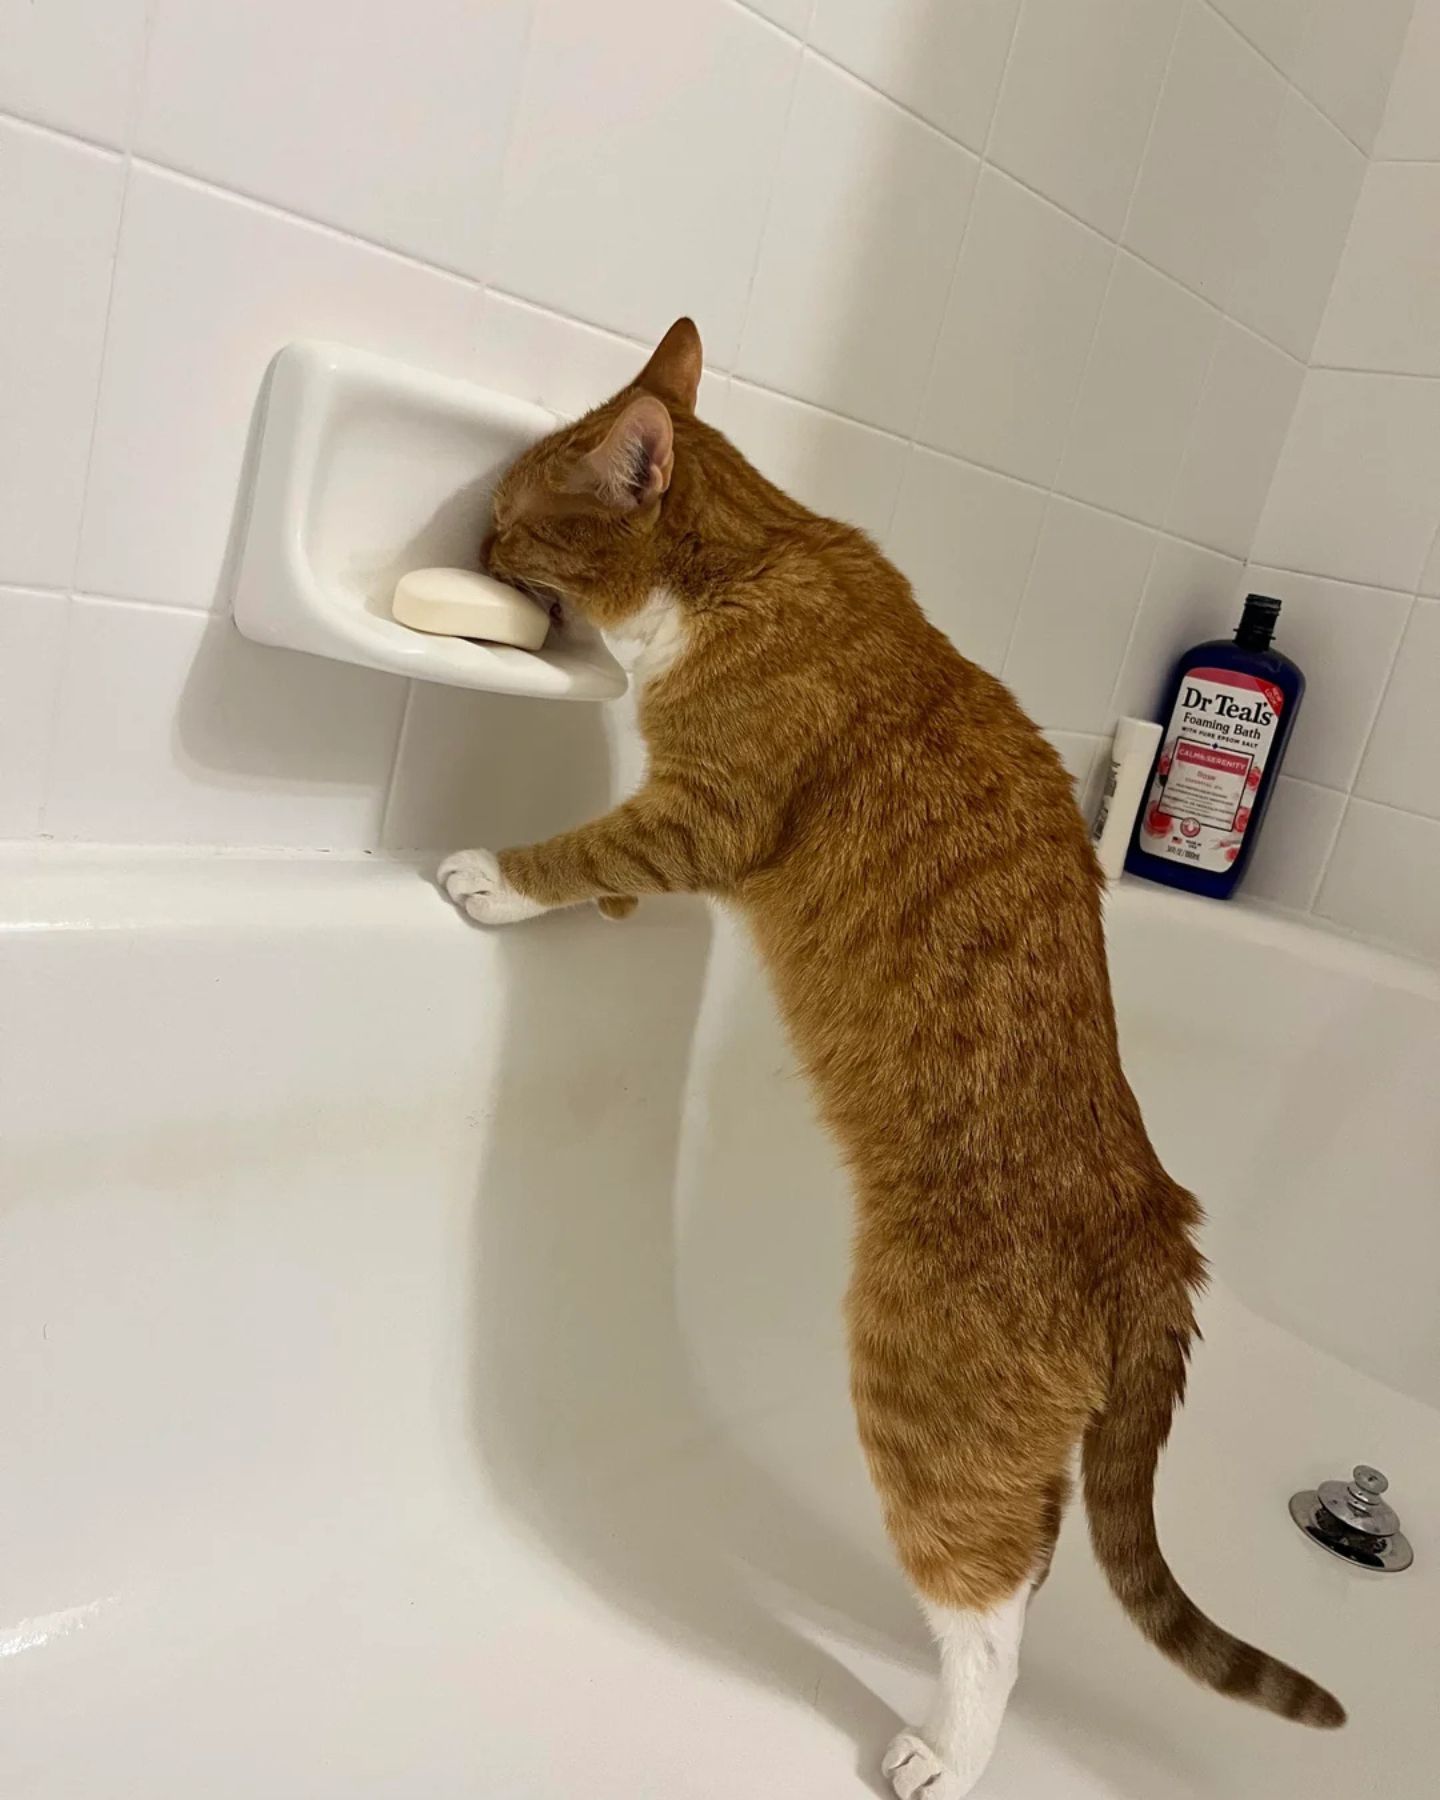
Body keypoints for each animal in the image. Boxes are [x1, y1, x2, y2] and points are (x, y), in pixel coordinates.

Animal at [439, 320, 1339, 1785]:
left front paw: (490, 878)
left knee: (988, 1603)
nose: (470, 535)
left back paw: (945, 1753)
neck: (751, 565)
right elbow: (613, 876)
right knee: (1032, 1554)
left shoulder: (704, 813)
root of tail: (1154, 1223)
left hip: (929, 1399)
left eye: (514, 518)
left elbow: (587, 848)